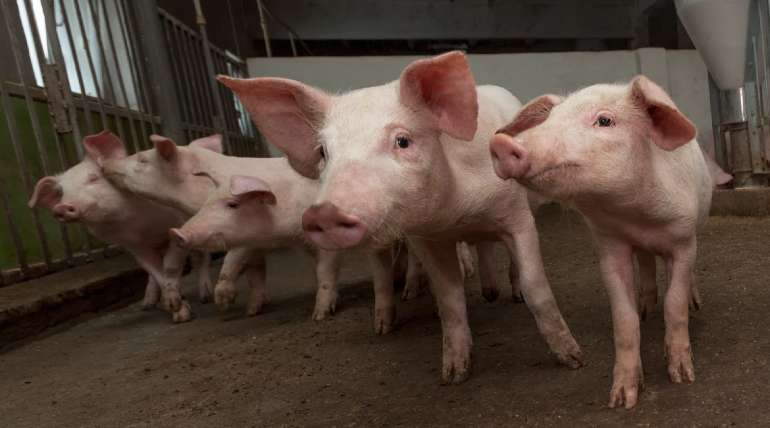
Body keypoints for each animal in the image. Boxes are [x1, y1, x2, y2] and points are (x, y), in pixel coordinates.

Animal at [28, 132, 210, 322]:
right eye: (61, 192)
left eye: (93, 178)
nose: (61, 207)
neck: (140, 226)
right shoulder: (134, 246)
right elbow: (155, 271)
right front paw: (177, 310)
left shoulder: (178, 225)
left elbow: (171, 265)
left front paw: (183, 317)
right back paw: (147, 305)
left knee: (201, 254)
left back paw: (205, 296)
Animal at [219, 51, 580, 384]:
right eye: (323, 152)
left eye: (402, 141)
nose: (324, 213)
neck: (457, 211)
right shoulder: (427, 238)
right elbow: (449, 299)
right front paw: (453, 375)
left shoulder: (516, 215)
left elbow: (536, 285)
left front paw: (572, 358)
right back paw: (389, 324)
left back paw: (505, 294)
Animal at [488, 76, 724, 408]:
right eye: (550, 118)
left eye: (605, 121)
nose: (501, 144)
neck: (637, 216)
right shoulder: (610, 245)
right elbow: (624, 320)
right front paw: (622, 400)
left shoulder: (682, 240)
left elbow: (674, 304)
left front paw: (682, 376)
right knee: (646, 264)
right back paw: (646, 308)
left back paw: (693, 303)